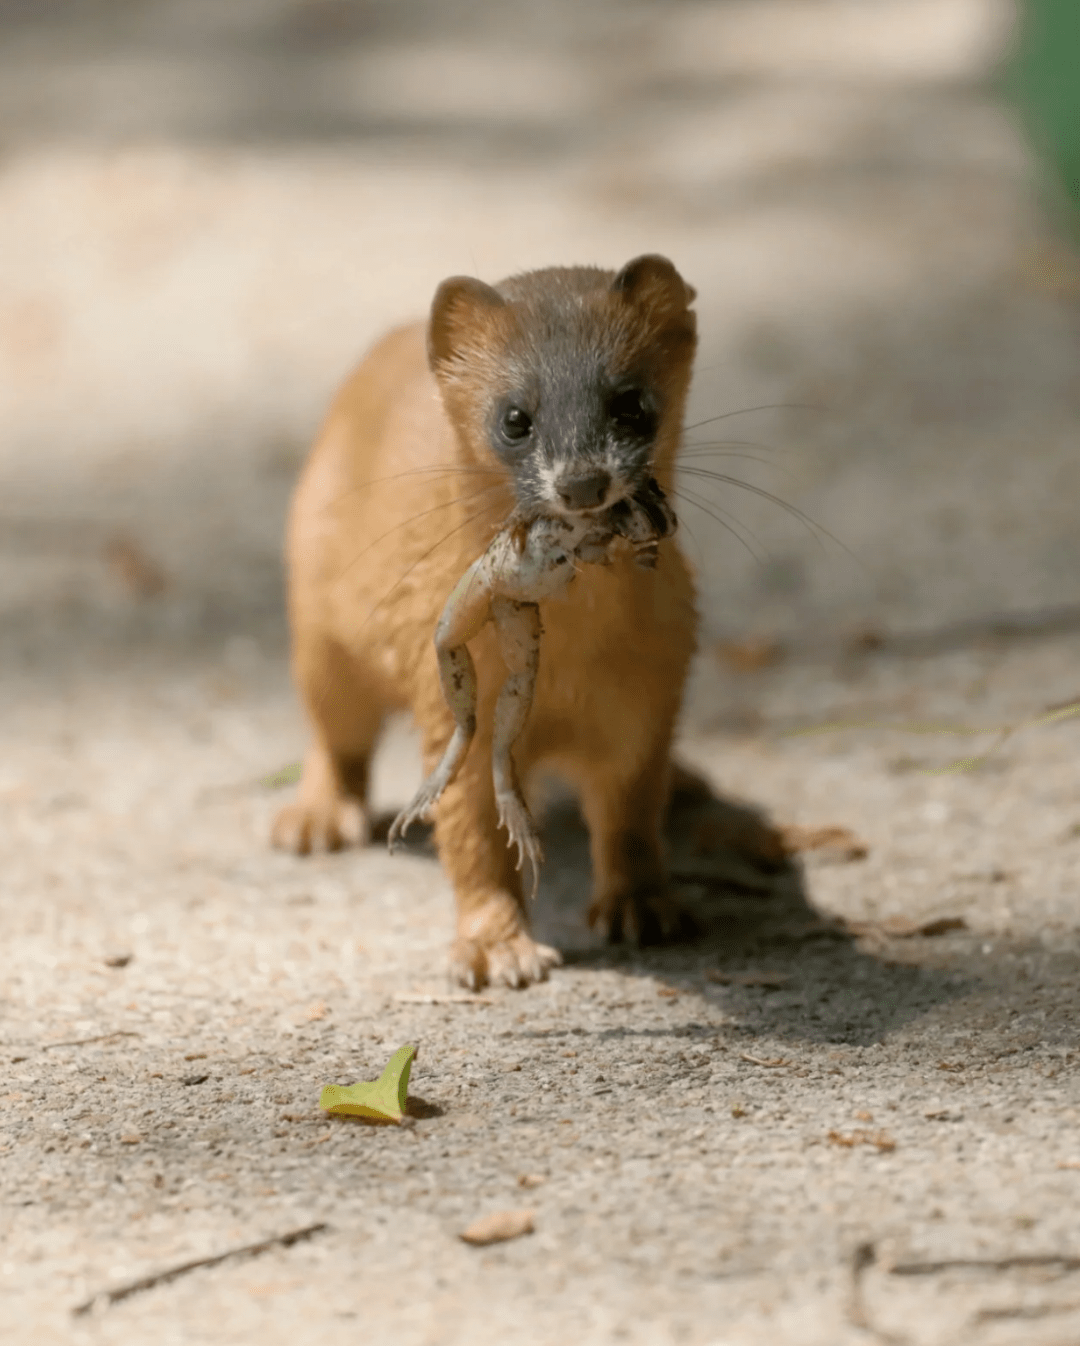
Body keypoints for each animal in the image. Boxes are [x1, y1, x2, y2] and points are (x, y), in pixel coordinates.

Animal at [272, 254, 700, 990]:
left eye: (632, 401)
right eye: (515, 417)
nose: (582, 482)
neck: (571, 674)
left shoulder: (650, 694)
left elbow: (631, 813)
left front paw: (643, 909)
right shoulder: (450, 704)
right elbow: (470, 834)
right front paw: (497, 951)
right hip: (323, 636)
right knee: (335, 730)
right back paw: (314, 819)